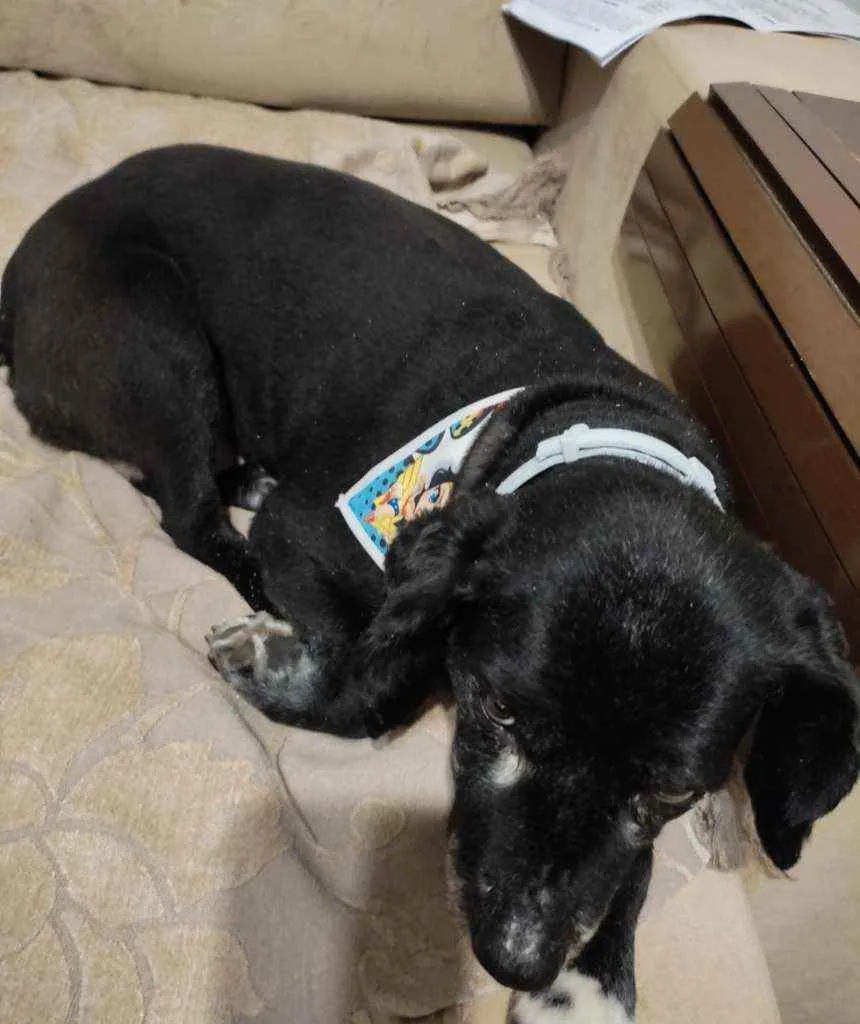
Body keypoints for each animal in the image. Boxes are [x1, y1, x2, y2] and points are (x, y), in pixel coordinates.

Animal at [2, 145, 858, 1022]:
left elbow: (635, 862)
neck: (595, 424)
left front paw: (591, 982)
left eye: (676, 791)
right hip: (156, 343)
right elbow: (379, 682)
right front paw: (272, 660)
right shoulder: (309, 537)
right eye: (496, 709)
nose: (517, 960)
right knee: (187, 514)